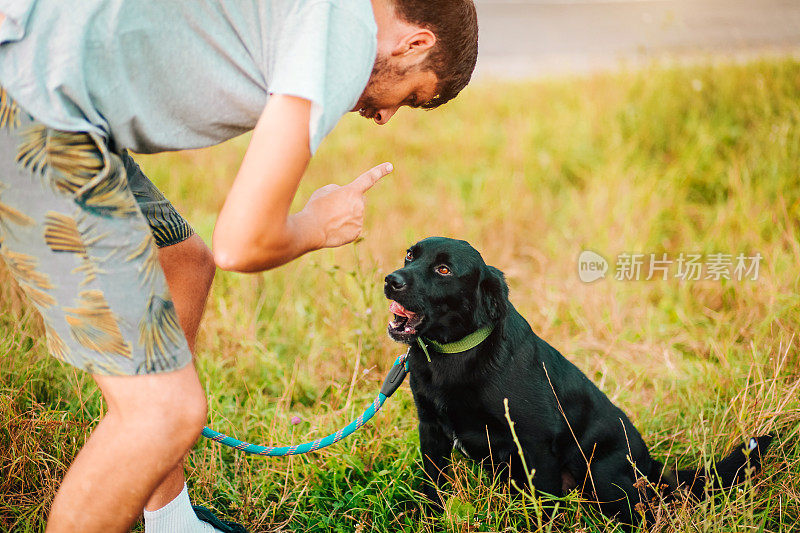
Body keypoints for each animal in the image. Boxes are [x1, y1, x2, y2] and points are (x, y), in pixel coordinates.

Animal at [384, 238, 772, 528]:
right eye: (410, 255)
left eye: (444, 269)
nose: (391, 279)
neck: (454, 354)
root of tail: (649, 465)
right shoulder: (431, 431)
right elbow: (432, 490)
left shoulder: (535, 444)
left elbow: (541, 506)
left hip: (602, 477)